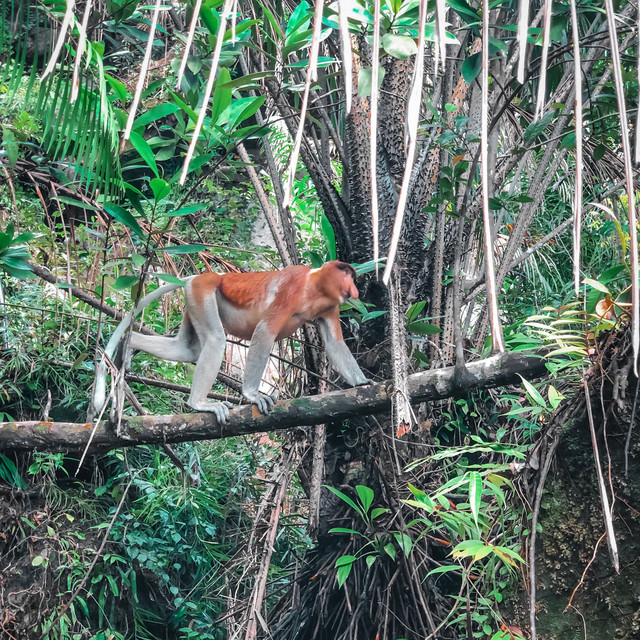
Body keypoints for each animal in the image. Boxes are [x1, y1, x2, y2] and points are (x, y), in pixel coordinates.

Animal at [89, 260, 370, 424]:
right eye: (347, 275)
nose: (356, 292)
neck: (315, 287)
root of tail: (198, 276)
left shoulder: (330, 306)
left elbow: (334, 344)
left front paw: (364, 383)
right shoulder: (293, 288)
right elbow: (264, 332)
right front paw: (253, 395)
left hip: (192, 299)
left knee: (188, 350)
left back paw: (129, 343)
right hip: (202, 292)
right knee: (215, 341)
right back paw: (200, 404)